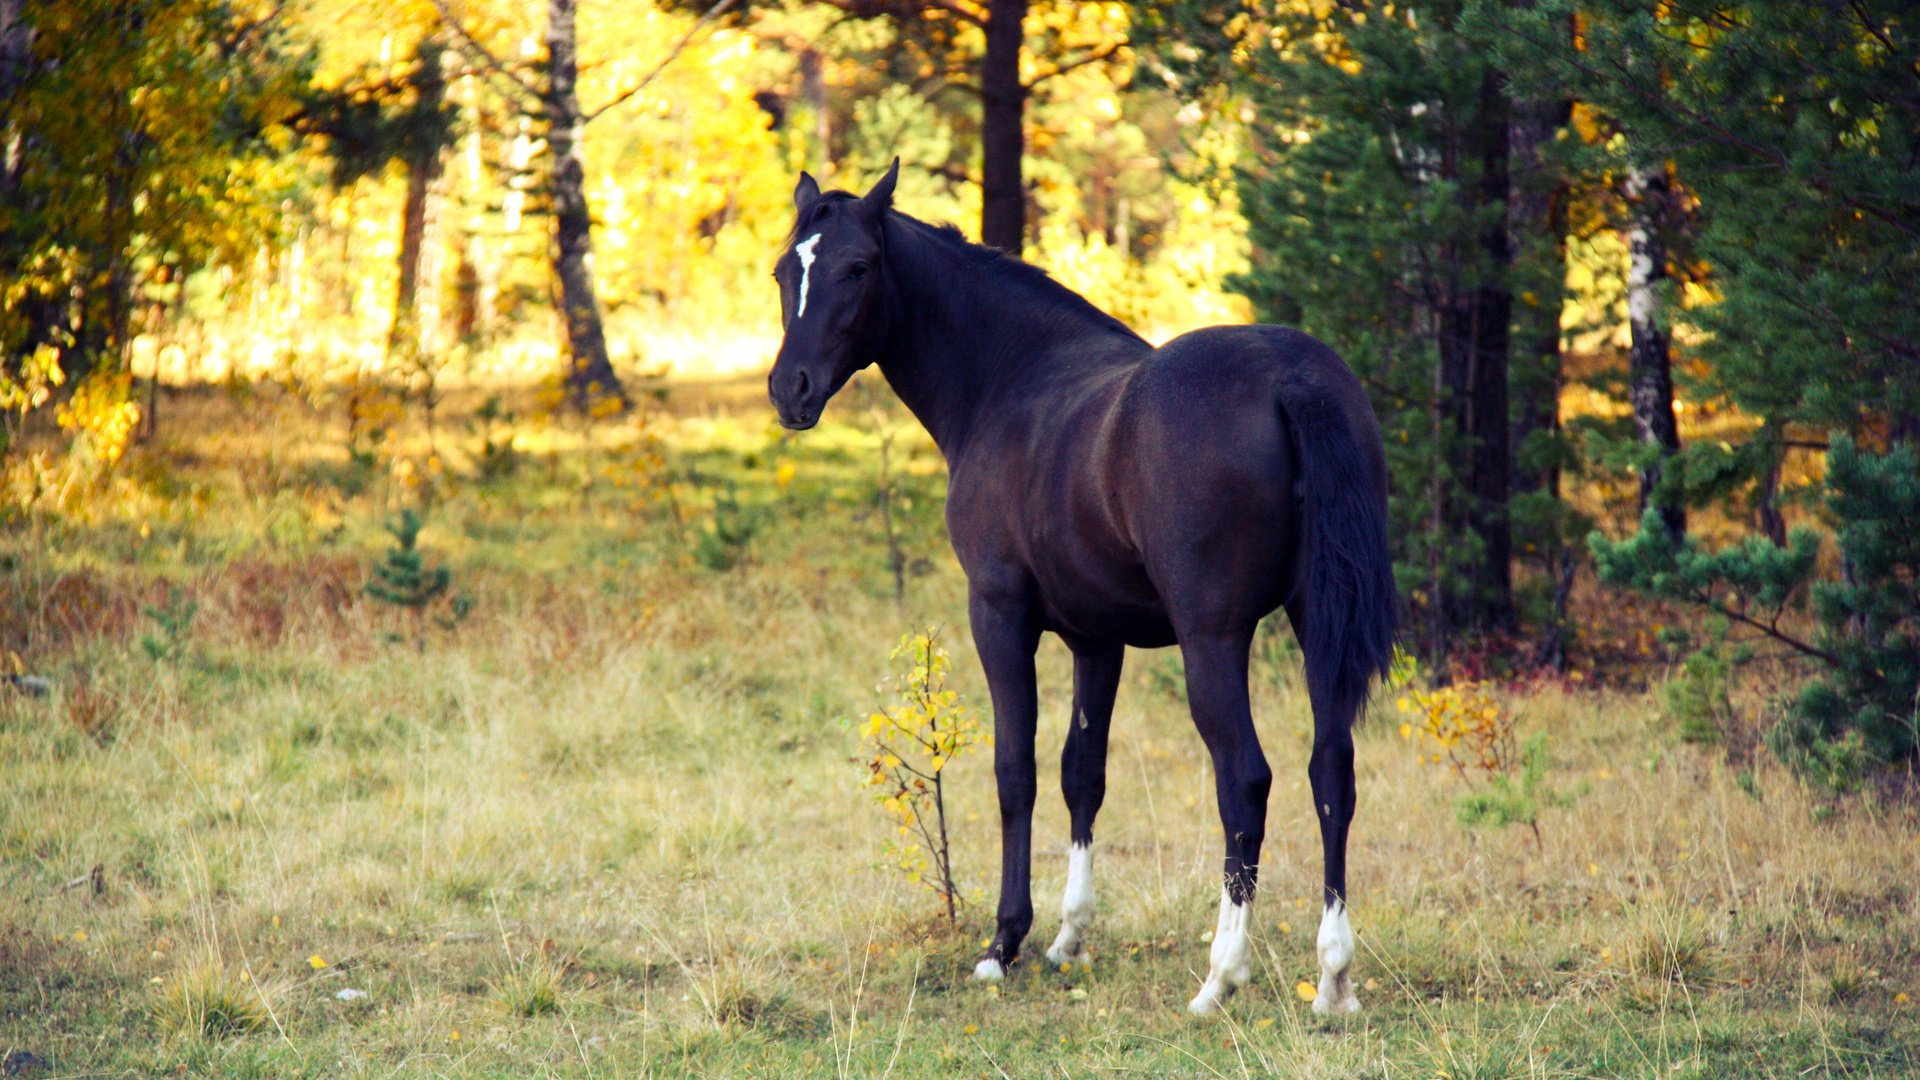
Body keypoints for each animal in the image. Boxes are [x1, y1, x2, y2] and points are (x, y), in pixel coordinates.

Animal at [764, 159, 1397, 1006]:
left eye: (857, 267)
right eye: (783, 271)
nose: (791, 389)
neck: (1010, 381)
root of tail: (1293, 378)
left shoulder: (999, 615)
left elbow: (1016, 770)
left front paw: (1005, 940)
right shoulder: (1099, 639)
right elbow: (1081, 774)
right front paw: (1069, 937)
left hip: (1214, 639)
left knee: (1245, 780)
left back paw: (1219, 976)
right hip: (1315, 623)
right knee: (1332, 771)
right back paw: (1333, 979)